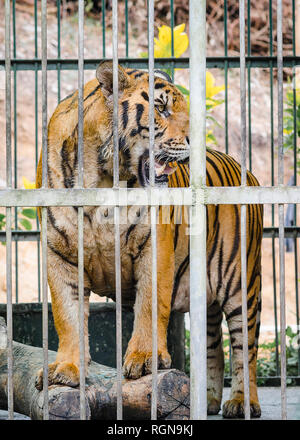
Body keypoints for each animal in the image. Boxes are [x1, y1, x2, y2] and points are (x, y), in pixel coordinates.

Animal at [35, 60, 262, 418]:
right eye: (161, 108)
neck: (103, 177)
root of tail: (246, 170)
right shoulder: (60, 255)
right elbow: (67, 316)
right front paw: (66, 369)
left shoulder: (155, 247)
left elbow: (150, 306)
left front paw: (145, 360)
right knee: (213, 346)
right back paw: (207, 400)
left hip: (241, 285)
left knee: (246, 350)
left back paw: (242, 402)